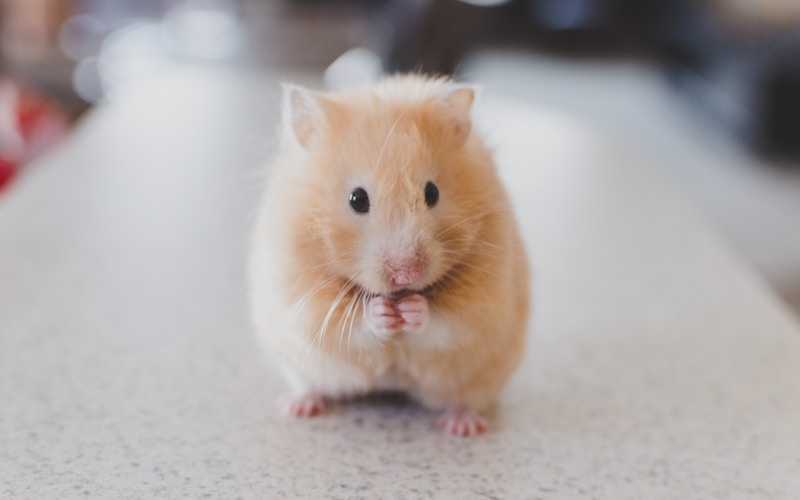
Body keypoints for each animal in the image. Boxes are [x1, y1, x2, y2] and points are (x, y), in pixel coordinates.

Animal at [249, 75, 530, 436]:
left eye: (432, 193)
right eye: (357, 199)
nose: (406, 274)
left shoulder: (485, 302)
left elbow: (448, 322)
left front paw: (412, 310)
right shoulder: (302, 300)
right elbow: (350, 324)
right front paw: (382, 312)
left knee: (467, 399)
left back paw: (462, 426)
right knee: (310, 385)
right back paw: (297, 407)